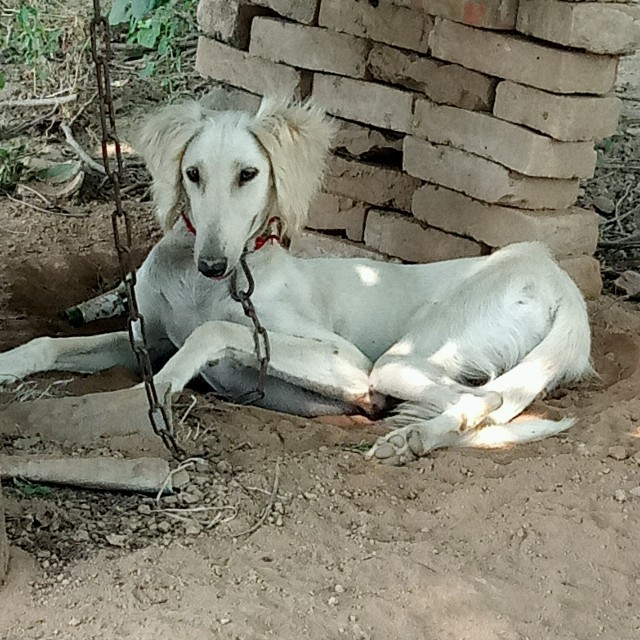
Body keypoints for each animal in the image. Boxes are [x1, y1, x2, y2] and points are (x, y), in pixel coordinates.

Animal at [0, 97, 592, 462]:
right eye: (192, 174)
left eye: (248, 174)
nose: (212, 264)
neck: (204, 288)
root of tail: (551, 272)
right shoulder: (148, 336)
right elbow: (50, 343)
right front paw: (9, 363)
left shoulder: (345, 363)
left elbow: (214, 332)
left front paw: (169, 382)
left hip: (399, 360)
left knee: (486, 400)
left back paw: (412, 439)